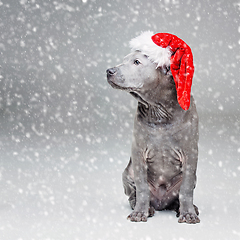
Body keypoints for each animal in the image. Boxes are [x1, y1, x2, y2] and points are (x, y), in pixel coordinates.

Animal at [106, 31, 200, 223]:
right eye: (124, 60)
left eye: (136, 62)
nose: (109, 71)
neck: (159, 110)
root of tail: (162, 202)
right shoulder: (138, 153)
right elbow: (142, 188)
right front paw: (140, 212)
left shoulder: (190, 154)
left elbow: (186, 190)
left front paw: (188, 213)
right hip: (127, 173)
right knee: (134, 194)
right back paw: (147, 207)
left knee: (180, 194)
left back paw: (184, 208)